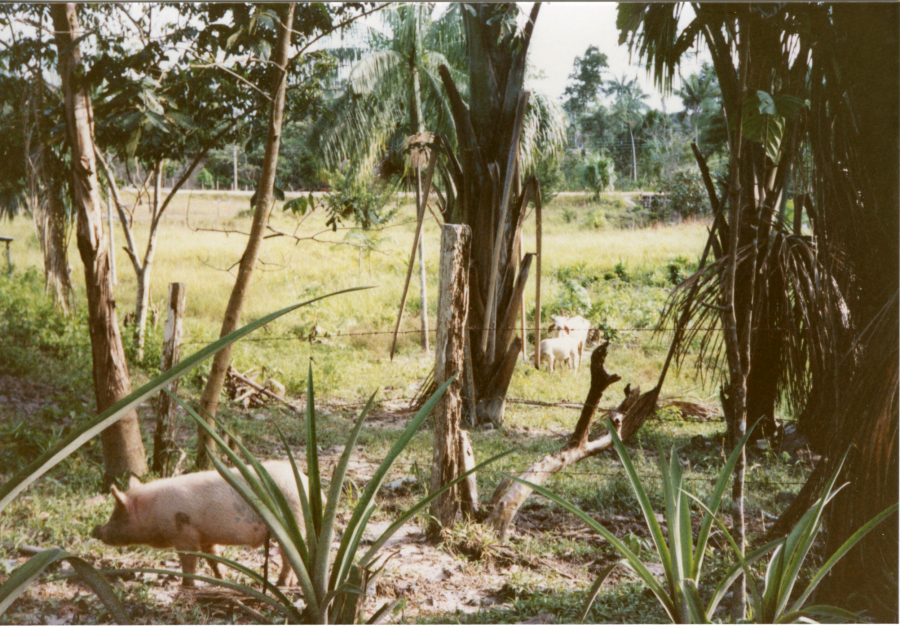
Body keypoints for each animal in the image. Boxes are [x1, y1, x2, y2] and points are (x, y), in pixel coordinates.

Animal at [91, 461, 310, 587]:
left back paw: (281, 584)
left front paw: (186, 585)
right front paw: (221, 580)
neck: (153, 511)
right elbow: (214, 558)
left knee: (290, 559)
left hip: (292, 523)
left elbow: (189, 561)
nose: (96, 530)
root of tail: (306, 483)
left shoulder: (184, 535)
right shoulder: (205, 536)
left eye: (117, 516)